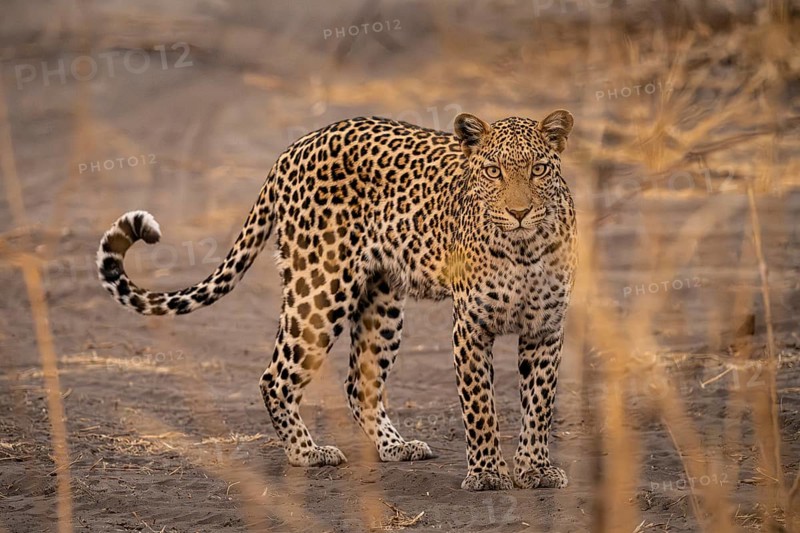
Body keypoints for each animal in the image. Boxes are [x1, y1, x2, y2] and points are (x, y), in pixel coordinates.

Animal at [97, 110, 577, 491]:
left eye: (538, 169)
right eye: (493, 171)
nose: (518, 212)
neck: (523, 247)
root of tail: (294, 148)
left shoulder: (546, 327)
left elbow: (539, 404)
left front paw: (535, 469)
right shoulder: (471, 326)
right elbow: (480, 407)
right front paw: (488, 473)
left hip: (382, 301)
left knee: (359, 383)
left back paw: (395, 446)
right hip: (321, 289)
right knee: (275, 377)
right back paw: (307, 453)